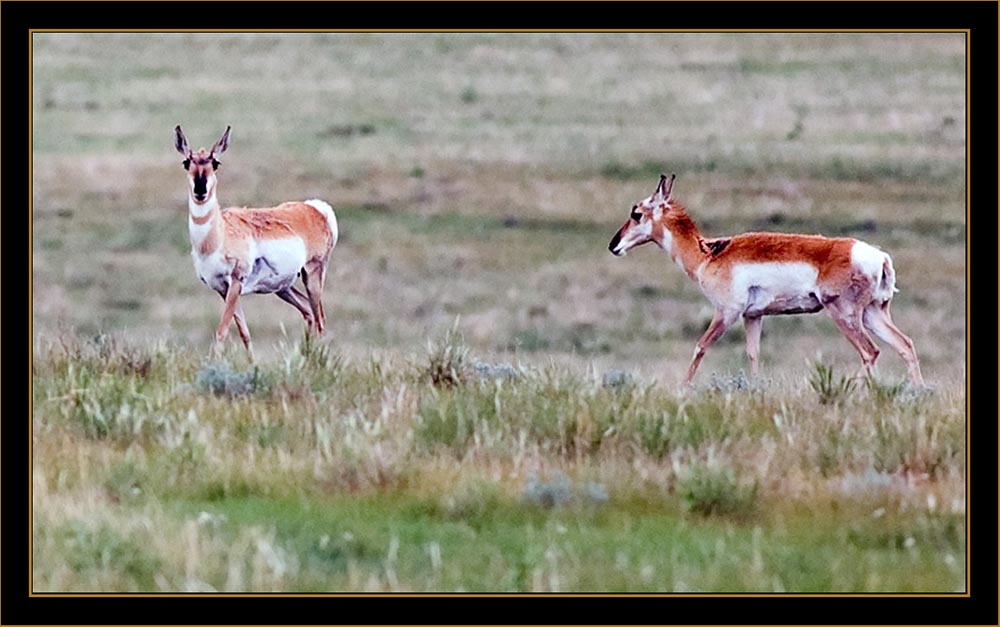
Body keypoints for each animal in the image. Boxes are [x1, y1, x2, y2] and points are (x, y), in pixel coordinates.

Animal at [176, 125, 340, 360]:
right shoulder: (223, 289)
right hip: (284, 287)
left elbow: (222, 330)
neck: (218, 237)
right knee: (308, 312)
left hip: (313, 275)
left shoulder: (235, 283)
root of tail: (315, 208)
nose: (200, 189)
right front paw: (252, 364)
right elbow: (244, 332)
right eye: (186, 162)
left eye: (215, 163)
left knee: (320, 319)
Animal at [612, 172, 924, 388]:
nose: (613, 245)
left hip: (845, 315)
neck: (708, 253)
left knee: (870, 351)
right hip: (873, 313)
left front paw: (683, 388)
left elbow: (700, 346)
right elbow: (753, 354)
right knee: (904, 345)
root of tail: (878, 257)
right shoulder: (753, 316)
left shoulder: (727, 312)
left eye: (636, 213)